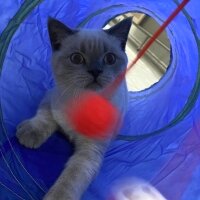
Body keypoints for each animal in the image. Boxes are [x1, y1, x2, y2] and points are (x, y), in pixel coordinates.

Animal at [16, 17, 132, 200]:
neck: (82, 102)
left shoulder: (89, 153)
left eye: (110, 59)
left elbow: (70, 180)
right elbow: (44, 118)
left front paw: (56, 197)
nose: (95, 71)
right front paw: (29, 135)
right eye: (77, 58)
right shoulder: (51, 98)